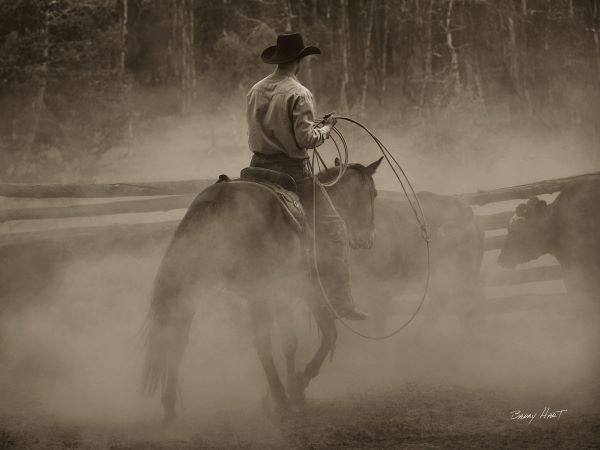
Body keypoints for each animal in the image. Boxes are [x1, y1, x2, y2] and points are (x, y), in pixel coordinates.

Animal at [143, 160, 382, 424]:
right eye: (373, 194)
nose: (369, 239)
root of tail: (218, 201)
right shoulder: (305, 291)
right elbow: (323, 336)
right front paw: (296, 386)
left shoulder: (286, 293)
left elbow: (293, 342)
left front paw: (289, 390)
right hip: (256, 291)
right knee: (262, 343)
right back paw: (281, 398)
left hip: (191, 287)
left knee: (175, 338)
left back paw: (169, 408)